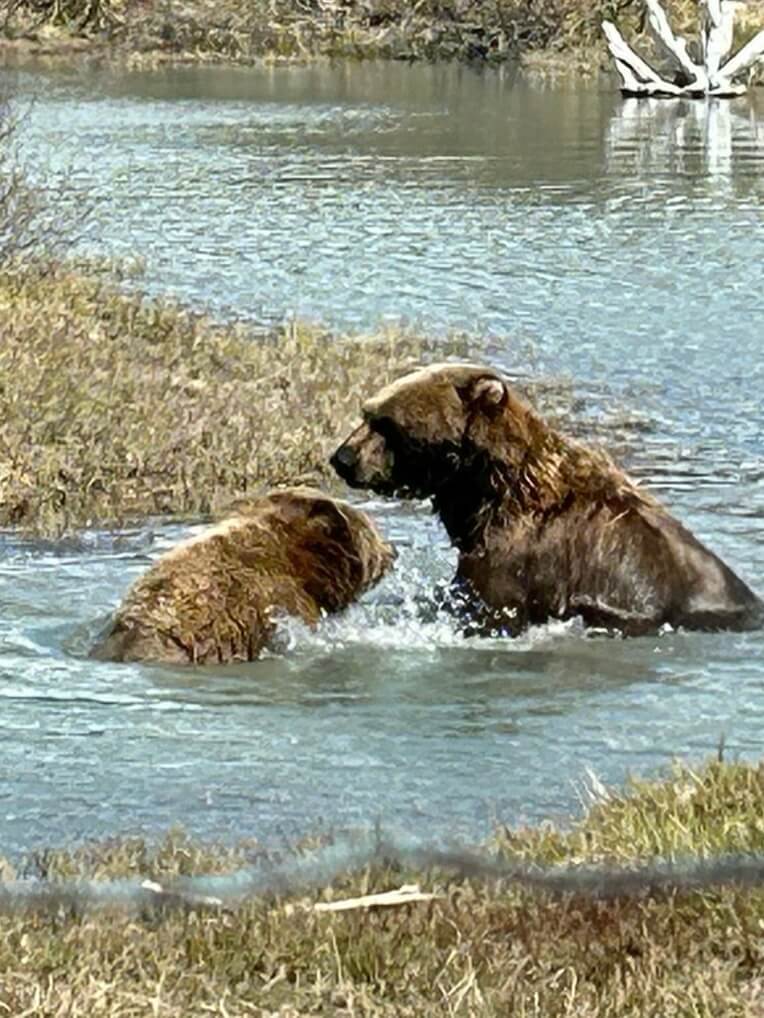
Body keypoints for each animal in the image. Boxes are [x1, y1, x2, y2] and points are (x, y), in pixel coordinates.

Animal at [332, 360, 761, 635]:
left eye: (386, 423)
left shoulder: (519, 557)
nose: (342, 458)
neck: (486, 494)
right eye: (367, 412)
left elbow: (488, 604)